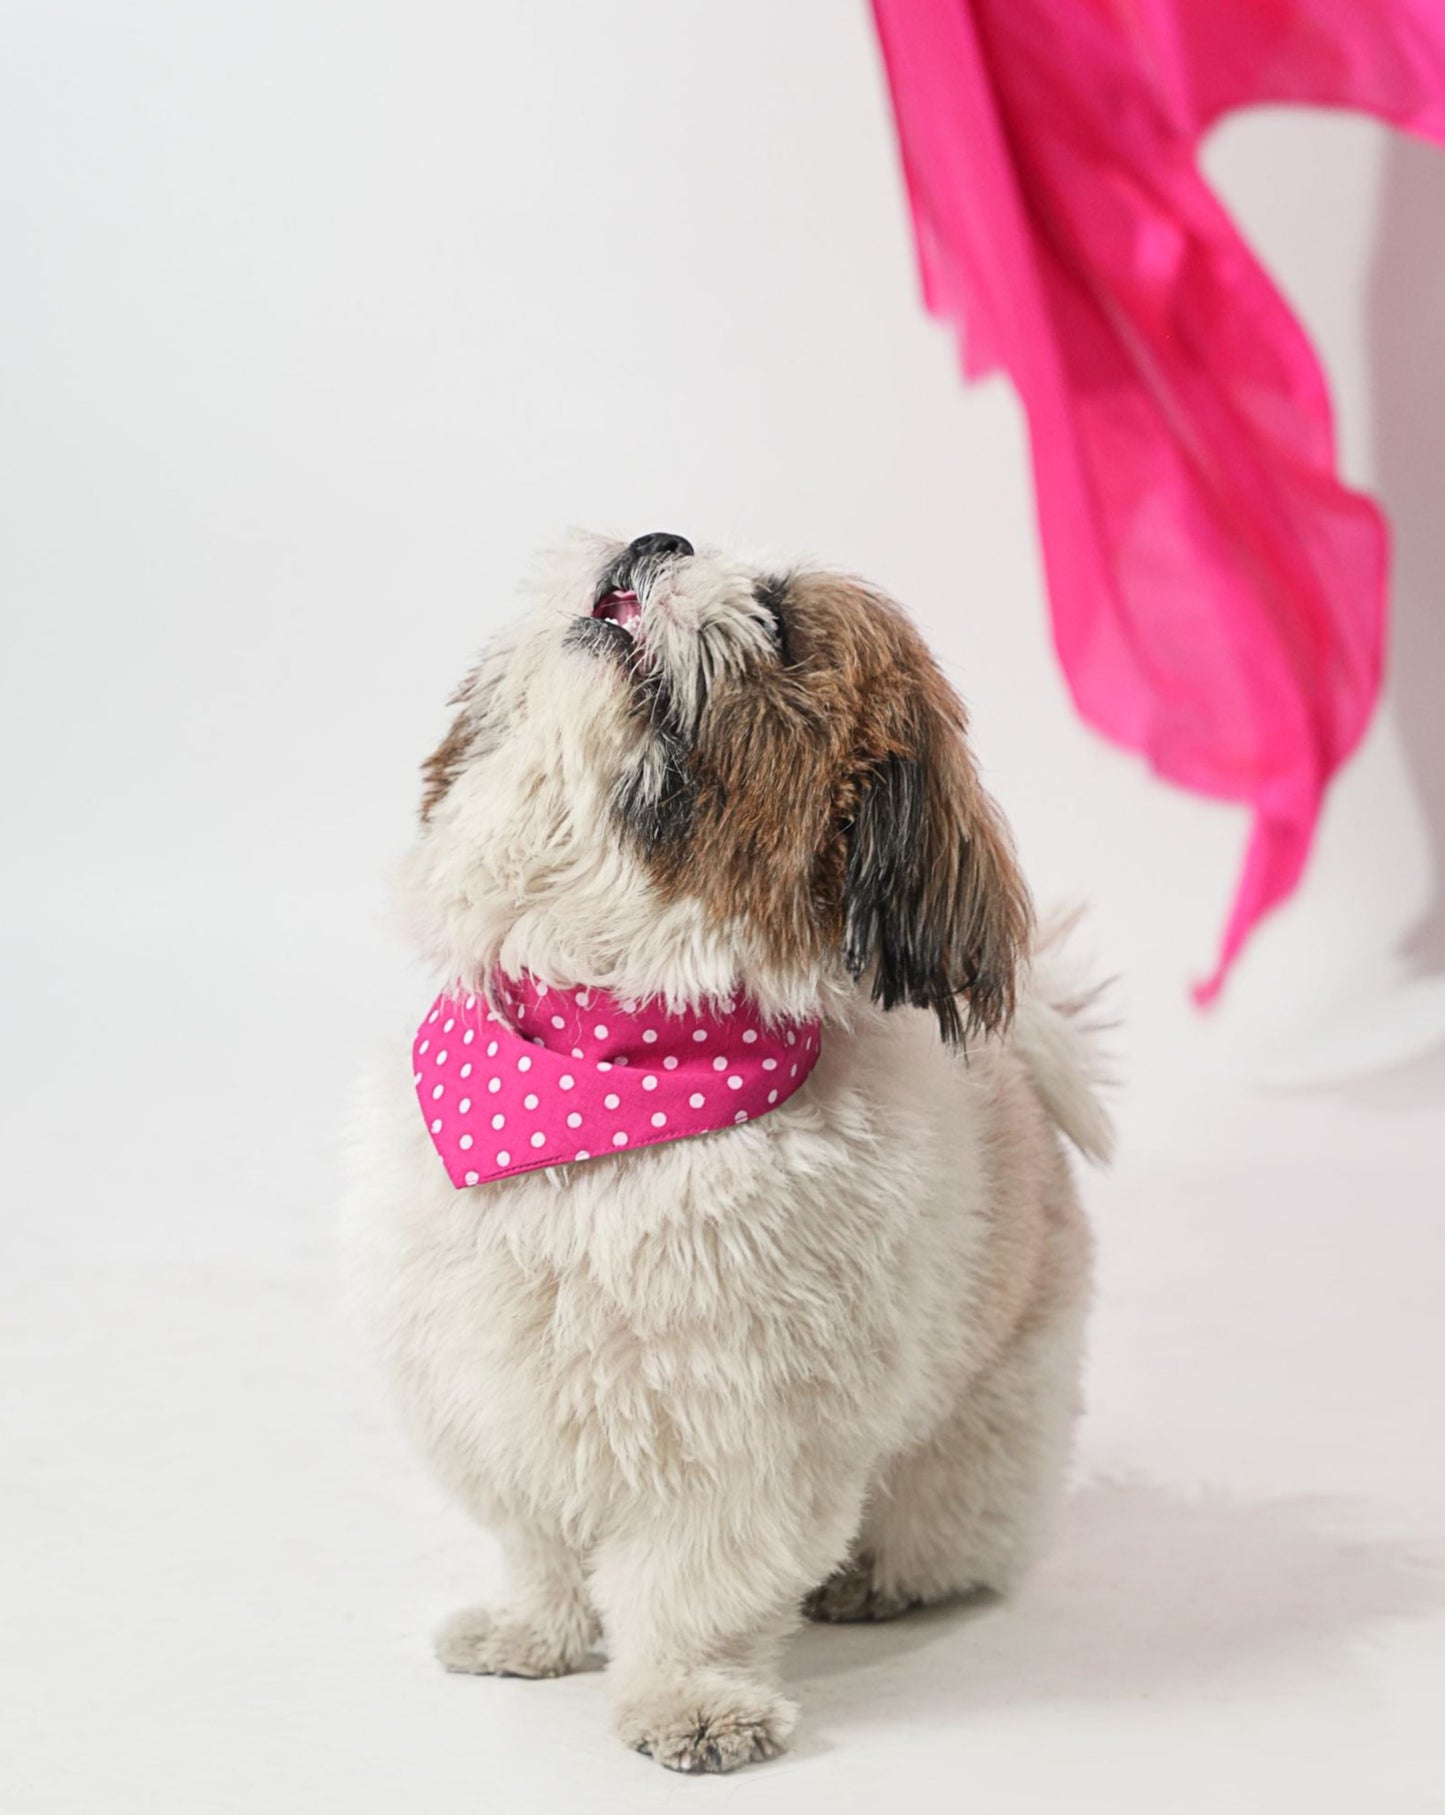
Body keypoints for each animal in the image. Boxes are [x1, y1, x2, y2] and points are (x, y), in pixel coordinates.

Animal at [344, 529, 1110, 1771]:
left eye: (778, 624)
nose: (655, 541)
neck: (603, 1047)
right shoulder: (496, 1387)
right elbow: (539, 1542)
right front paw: (532, 1632)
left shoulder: (742, 1430)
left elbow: (693, 1585)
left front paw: (690, 1701)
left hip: (993, 1416)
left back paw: (874, 1579)